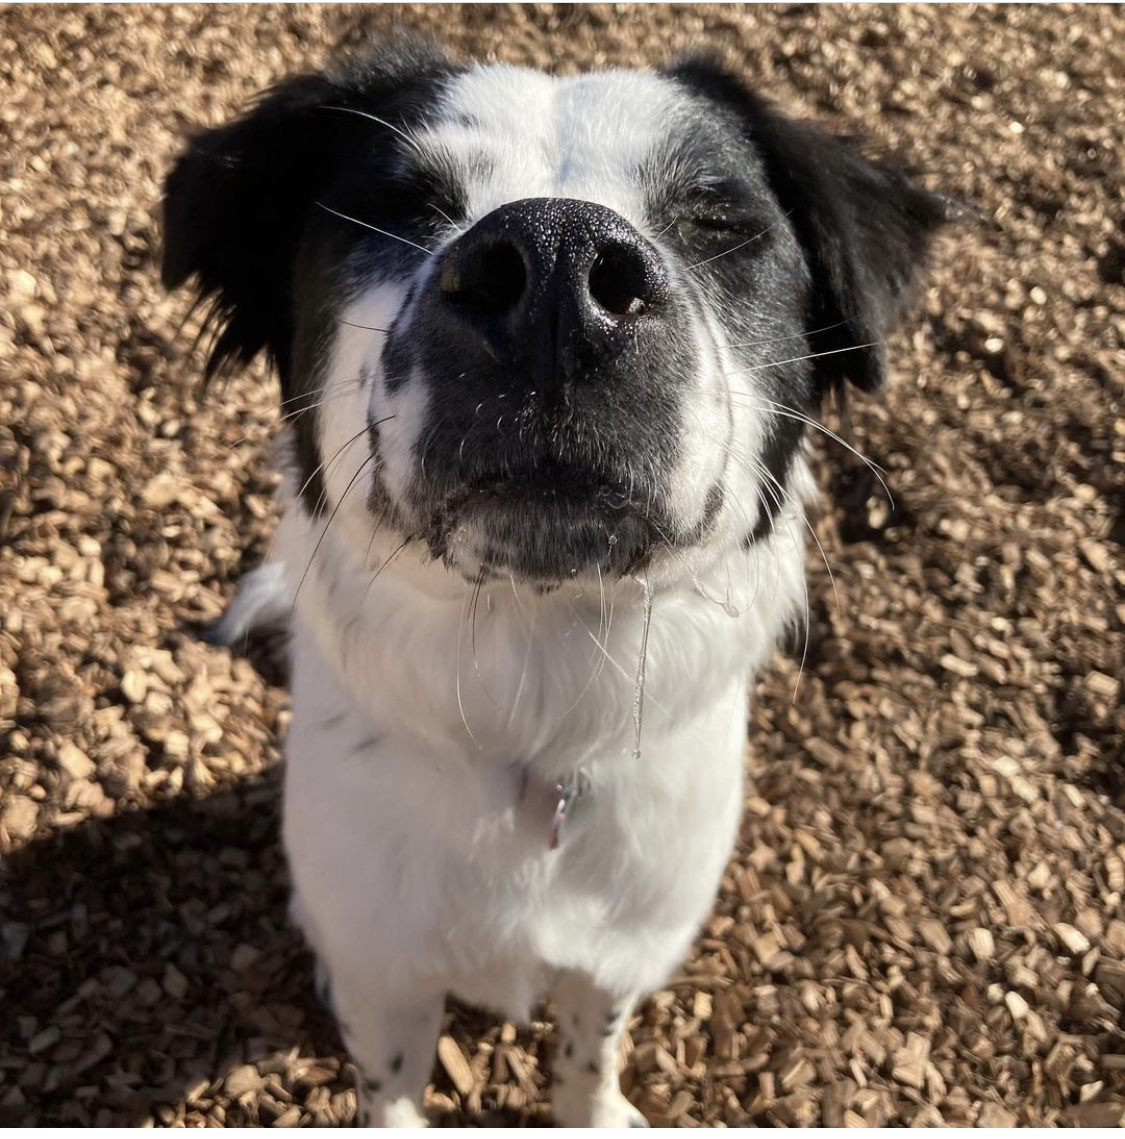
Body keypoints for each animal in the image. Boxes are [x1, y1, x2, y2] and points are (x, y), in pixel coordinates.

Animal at [162, 37, 950, 1127]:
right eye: (401, 206)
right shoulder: (387, 969)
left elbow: (589, 1047)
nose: (555, 270)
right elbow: (389, 1079)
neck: (532, 716)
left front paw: (595, 1107)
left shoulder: (619, 950)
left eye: (717, 222)